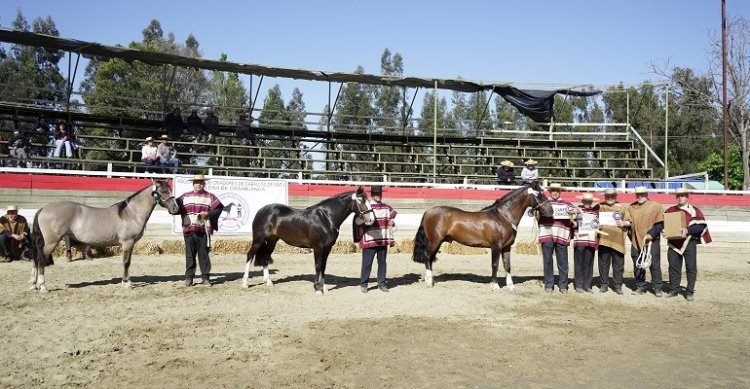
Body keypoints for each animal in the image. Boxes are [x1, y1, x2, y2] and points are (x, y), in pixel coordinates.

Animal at [29, 180, 181, 292]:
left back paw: (33, 285)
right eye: (162, 191)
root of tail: (44, 208)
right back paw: (42, 286)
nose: (175, 209)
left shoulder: (130, 244)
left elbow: (128, 262)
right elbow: (126, 262)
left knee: (36, 260)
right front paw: (126, 283)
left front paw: (128, 281)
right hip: (50, 243)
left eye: (170, 190)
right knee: (41, 260)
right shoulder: (128, 242)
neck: (131, 213)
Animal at [242, 187, 374, 294]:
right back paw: (245, 283)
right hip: (258, 239)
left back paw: (269, 282)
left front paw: (324, 288)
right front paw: (317, 289)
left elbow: (323, 266)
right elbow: (318, 266)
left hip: (272, 241)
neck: (326, 218)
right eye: (361, 201)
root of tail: (262, 210)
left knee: (265, 257)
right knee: (250, 255)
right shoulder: (318, 247)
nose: (371, 219)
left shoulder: (327, 248)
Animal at [414, 183, 556, 290]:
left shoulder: (507, 247)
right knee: (427, 257)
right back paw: (429, 282)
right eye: (538, 194)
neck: (504, 217)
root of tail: (428, 212)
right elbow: (495, 265)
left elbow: (507, 265)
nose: (551, 211)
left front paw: (511, 286)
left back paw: (431, 280)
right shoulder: (496, 246)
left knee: (430, 259)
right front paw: (495, 286)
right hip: (435, 241)